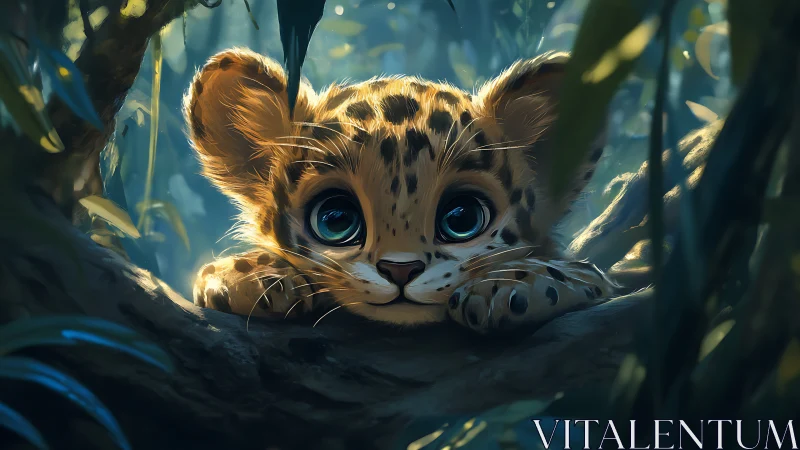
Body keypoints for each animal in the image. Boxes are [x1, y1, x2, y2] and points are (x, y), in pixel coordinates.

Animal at [183, 47, 622, 333]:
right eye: (336, 219)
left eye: (462, 217)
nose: (400, 270)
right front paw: (255, 276)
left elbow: (577, 272)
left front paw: (513, 287)